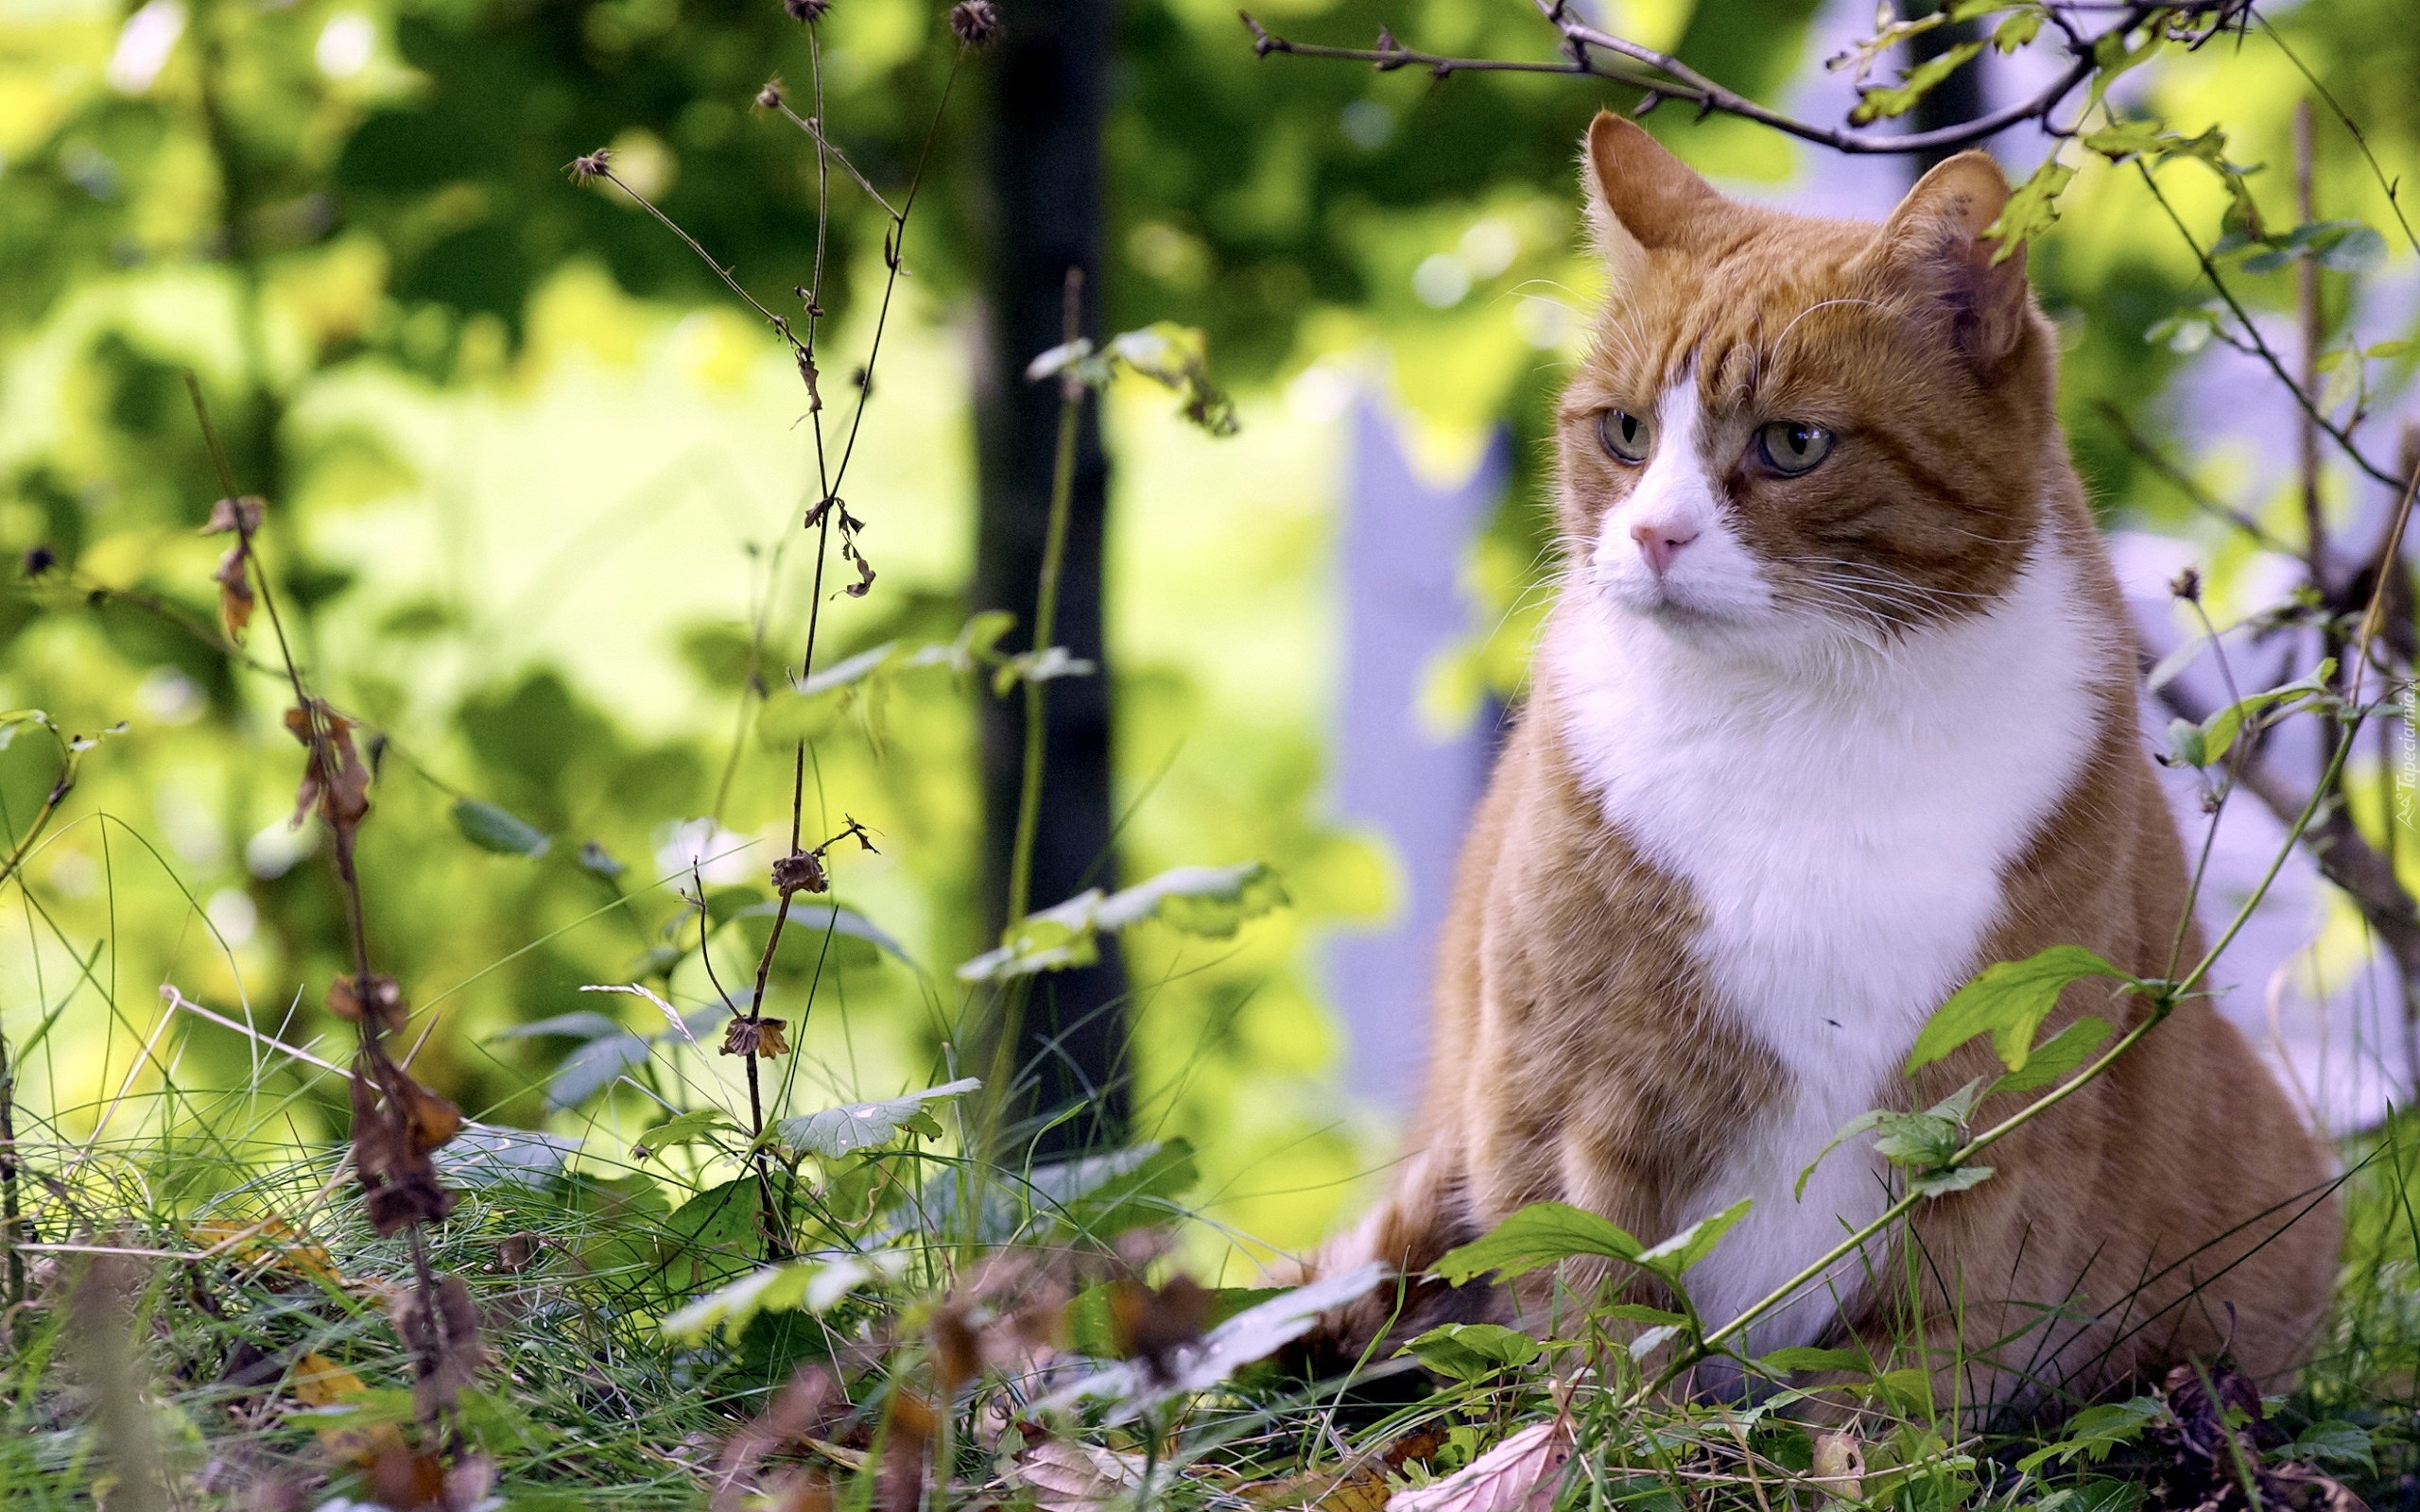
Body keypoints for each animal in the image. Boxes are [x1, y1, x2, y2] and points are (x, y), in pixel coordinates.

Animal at [1325, 112, 2342, 1413]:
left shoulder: (1997, 1109)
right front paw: (1612, 1434)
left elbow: (1911, 1362)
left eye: (1793, 444)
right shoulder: (1562, 1088)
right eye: (1626, 433)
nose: (1653, 534)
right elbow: (1594, 1312)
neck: (1799, 717)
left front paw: (1850, 1442)